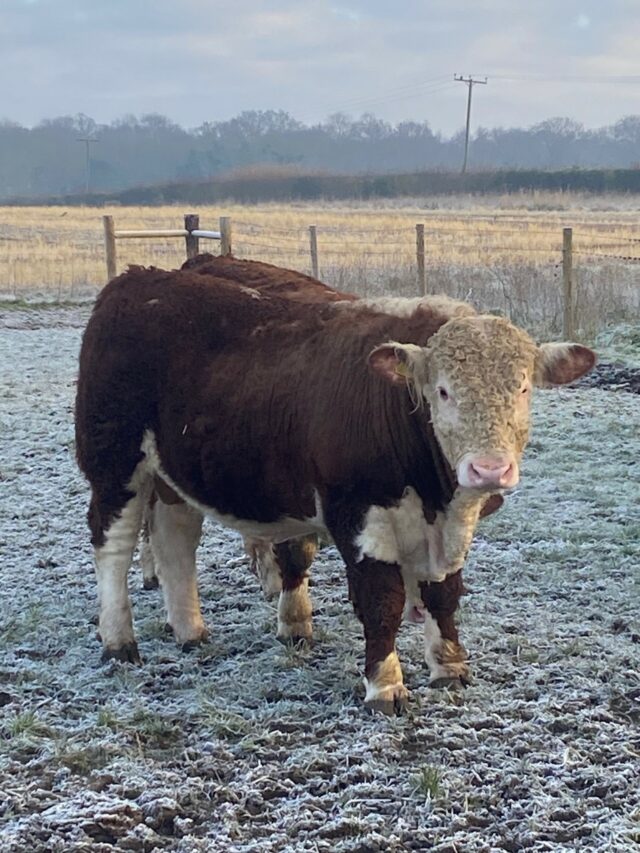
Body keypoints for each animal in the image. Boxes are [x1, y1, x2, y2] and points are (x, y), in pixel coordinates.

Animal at [76, 258, 596, 712]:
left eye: (523, 388)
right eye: (443, 391)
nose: (489, 470)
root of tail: (137, 279)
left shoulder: (450, 525)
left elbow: (444, 593)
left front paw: (449, 666)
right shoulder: (357, 514)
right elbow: (382, 600)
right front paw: (385, 686)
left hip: (171, 475)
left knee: (175, 541)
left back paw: (190, 630)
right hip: (114, 462)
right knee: (113, 546)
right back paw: (118, 641)